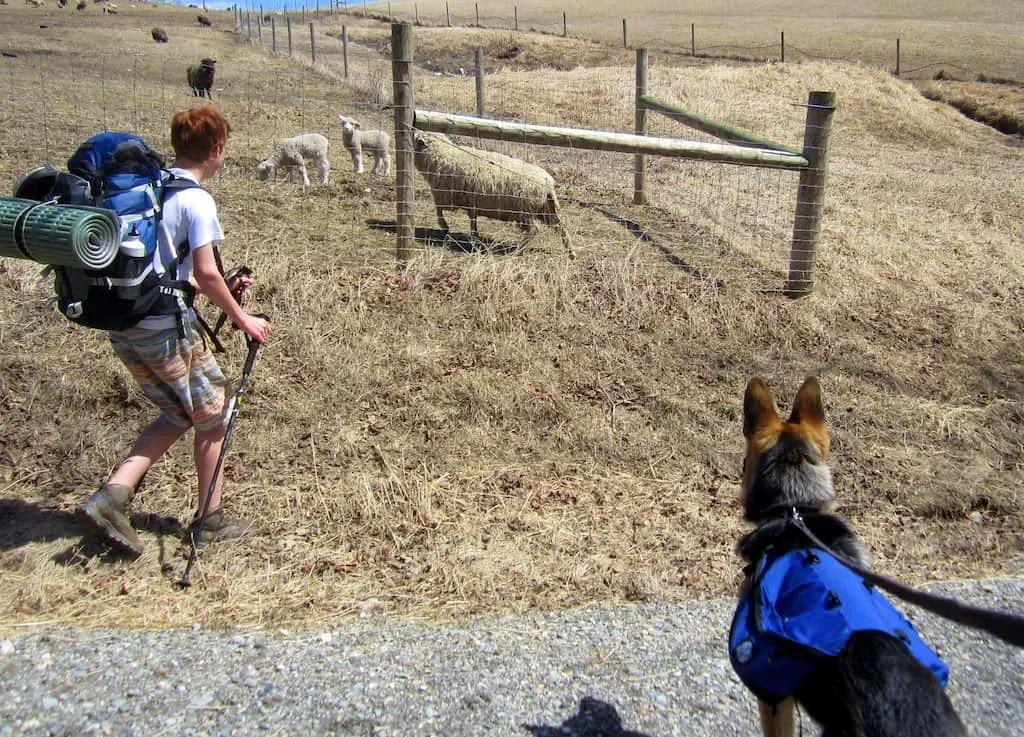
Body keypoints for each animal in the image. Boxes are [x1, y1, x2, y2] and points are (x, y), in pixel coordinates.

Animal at [415, 131, 577, 257]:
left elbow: (438, 211)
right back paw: (571, 252)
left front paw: (444, 227)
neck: (442, 155)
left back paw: (518, 250)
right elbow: (472, 222)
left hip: (525, 211)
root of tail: (548, 182)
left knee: (535, 230)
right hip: (545, 209)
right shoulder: (470, 202)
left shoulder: (445, 196)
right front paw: (474, 240)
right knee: (560, 227)